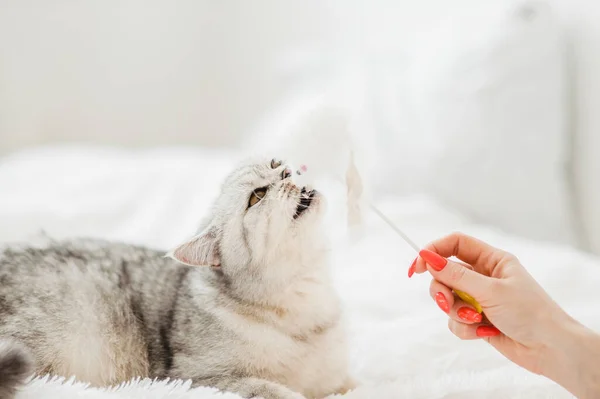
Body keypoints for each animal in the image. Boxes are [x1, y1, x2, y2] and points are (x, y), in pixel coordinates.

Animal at [0, 157, 354, 399]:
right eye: (258, 195)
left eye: (274, 163)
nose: (286, 171)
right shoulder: (197, 378)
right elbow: (273, 390)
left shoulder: (336, 379)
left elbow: (350, 384)